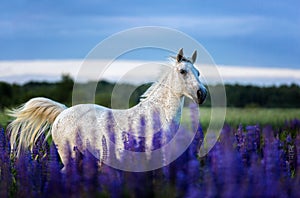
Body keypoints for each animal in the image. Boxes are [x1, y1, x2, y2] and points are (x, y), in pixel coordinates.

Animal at [8, 48, 207, 167]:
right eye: (183, 71)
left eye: (198, 72)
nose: (202, 94)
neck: (158, 113)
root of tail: (62, 112)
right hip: (68, 155)